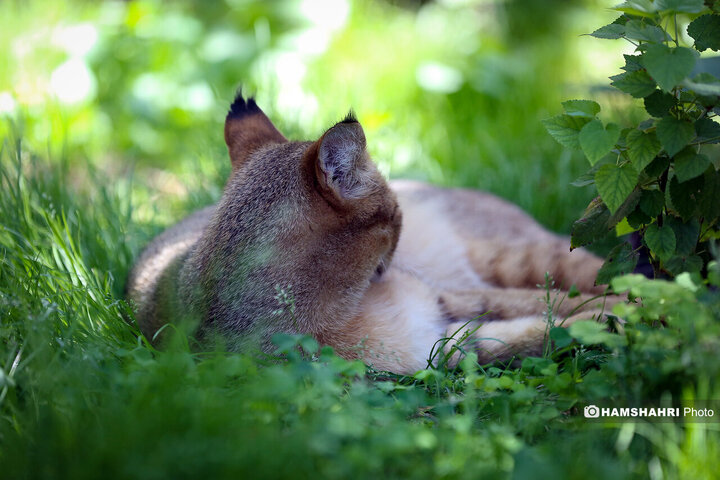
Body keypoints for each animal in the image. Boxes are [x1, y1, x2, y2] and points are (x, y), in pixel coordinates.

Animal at [126, 92, 612, 374]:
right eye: (395, 217)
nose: (392, 263)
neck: (345, 307)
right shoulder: (439, 348)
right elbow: (537, 332)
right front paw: (611, 322)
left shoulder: (447, 298)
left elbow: (543, 303)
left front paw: (621, 310)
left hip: (519, 254)